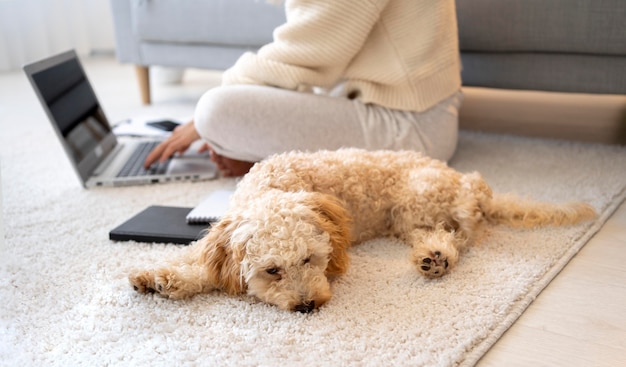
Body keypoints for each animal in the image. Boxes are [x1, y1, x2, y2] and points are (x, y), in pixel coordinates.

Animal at [128, 149, 596, 314]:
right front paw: (159, 278)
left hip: (414, 201)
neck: (274, 186)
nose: (307, 306)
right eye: (272, 270)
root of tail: (472, 183)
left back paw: (438, 257)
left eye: (309, 260)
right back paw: (431, 257)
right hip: (409, 217)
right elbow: (200, 263)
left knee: (461, 236)